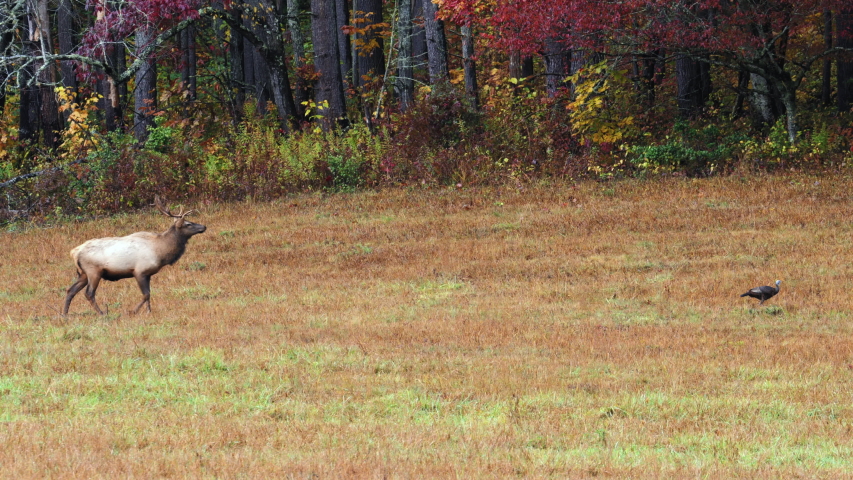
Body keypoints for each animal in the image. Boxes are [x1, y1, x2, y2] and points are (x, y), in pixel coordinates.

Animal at [62, 196, 206, 316]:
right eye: (188, 224)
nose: (204, 226)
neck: (160, 251)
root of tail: (74, 252)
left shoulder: (148, 274)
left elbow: (149, 294)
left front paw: (149, 311)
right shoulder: (139, 271)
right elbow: (145, 294)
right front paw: (133, 311)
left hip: (83, 273)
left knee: (70, 290)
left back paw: (64, 314)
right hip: (93, 271)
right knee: (89, 293)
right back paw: (102, 313)